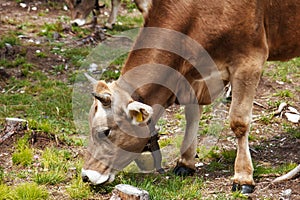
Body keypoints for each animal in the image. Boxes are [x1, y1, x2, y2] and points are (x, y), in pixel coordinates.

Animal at [80, 0, 300, 195]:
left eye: (105, 131)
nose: (86, 176)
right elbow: (192, 115)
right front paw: (186, 162)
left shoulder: (249, 61)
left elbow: (239, 122)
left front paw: (243, 177)